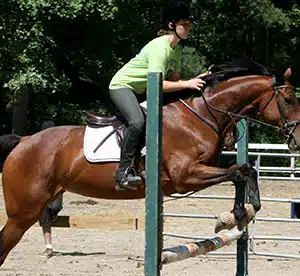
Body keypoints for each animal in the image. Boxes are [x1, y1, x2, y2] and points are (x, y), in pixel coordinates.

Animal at [0, 60, 300, 266]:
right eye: (288, 99)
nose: (297, 140)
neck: (198, 117)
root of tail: (23, 140)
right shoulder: (184, 177)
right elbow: (238, 172)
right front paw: (238, 212)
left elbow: (246, 169)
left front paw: (243, 211)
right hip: (23, 212)